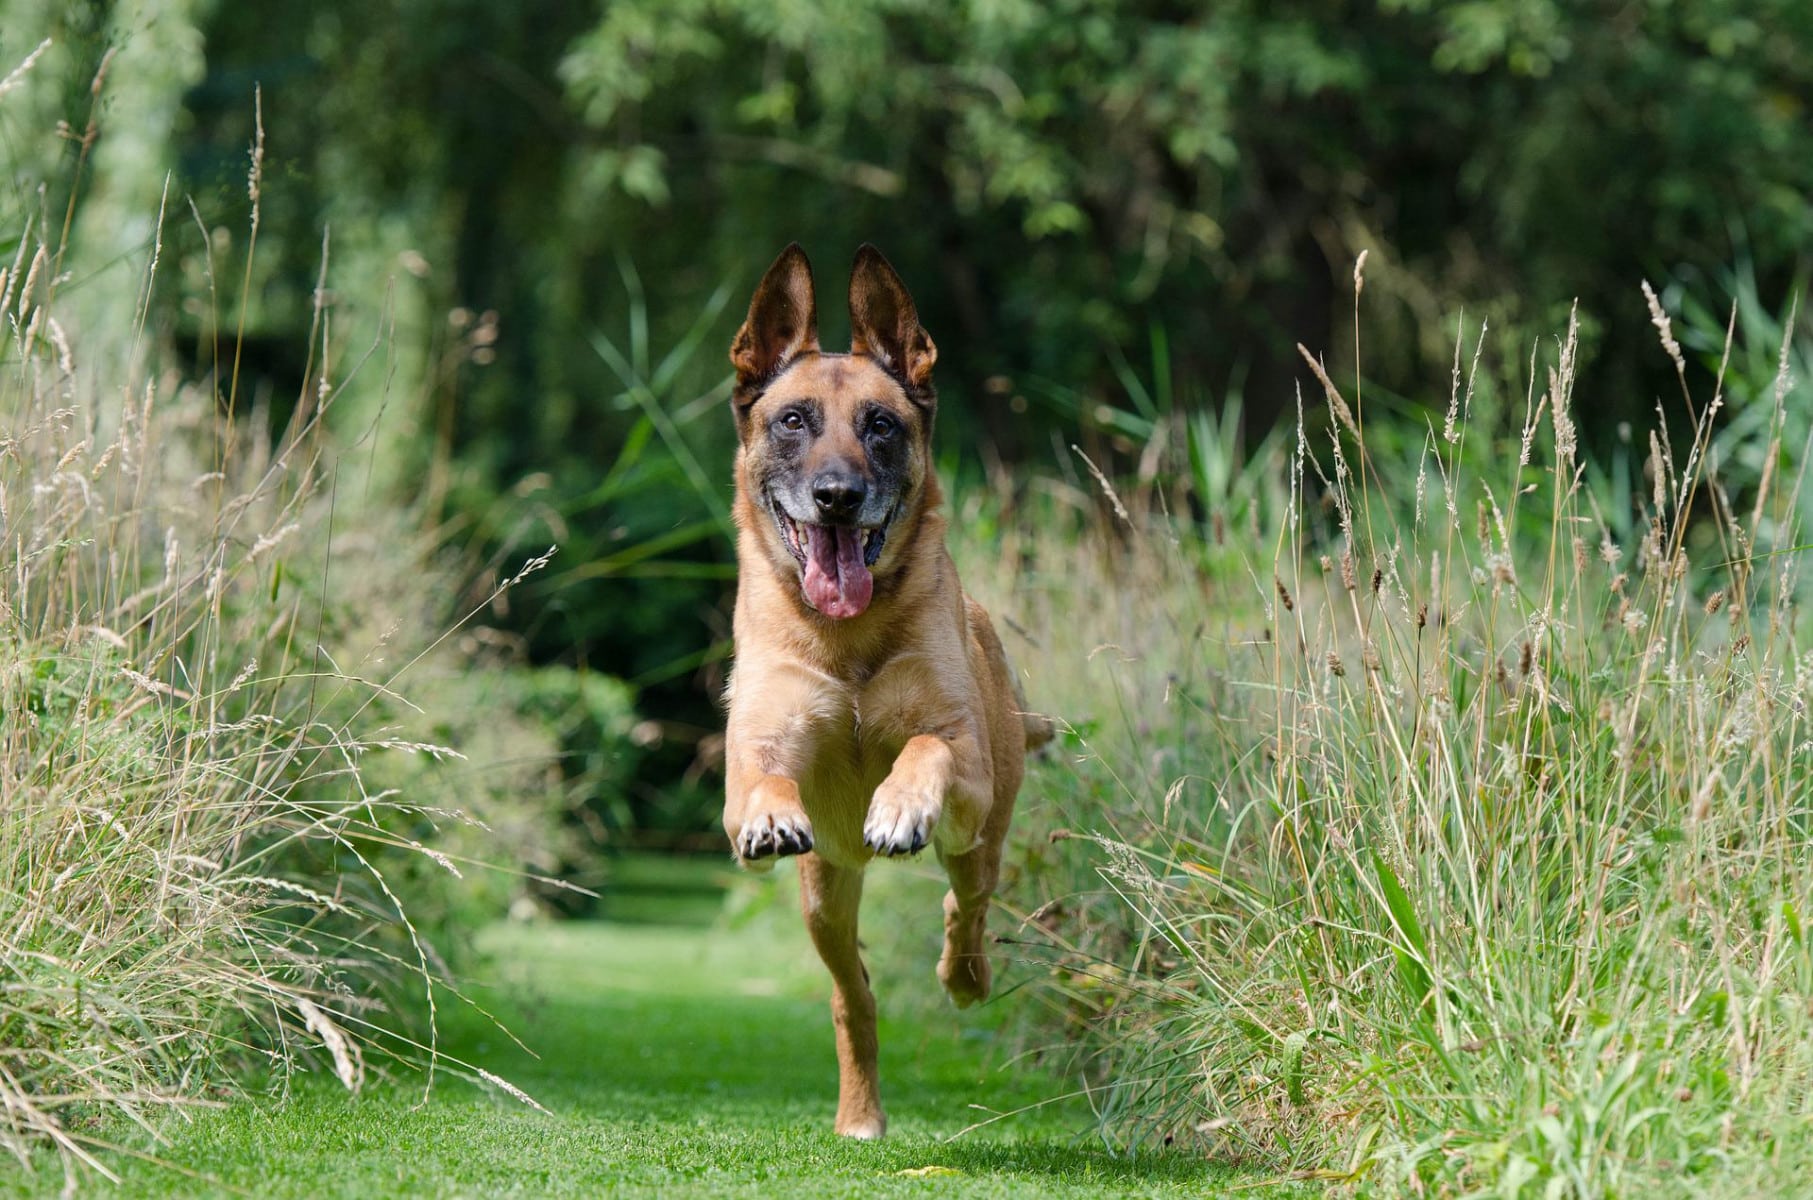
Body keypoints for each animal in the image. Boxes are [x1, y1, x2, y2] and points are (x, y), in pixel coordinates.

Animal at [714, 242, 1044, 1138]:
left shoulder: (962, 758)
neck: (847, 638)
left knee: (966, 908)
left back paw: (964, 975)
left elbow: (926, 745)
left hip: (980, 836)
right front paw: (771, 816)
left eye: (881, 425)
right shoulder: (755, 752)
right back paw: (859, 1111)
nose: (837, 496)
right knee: (852, 995)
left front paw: (898, 806)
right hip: (823, 895)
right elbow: (759, 781)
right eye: (793, 420)